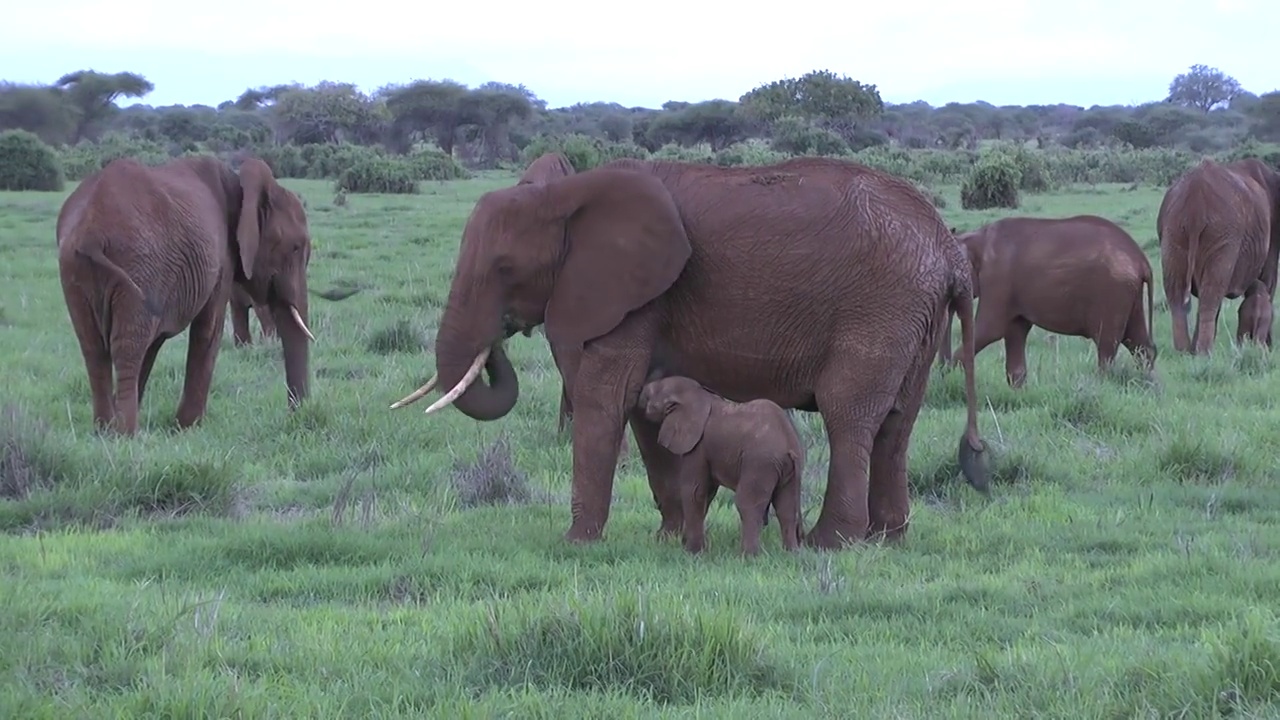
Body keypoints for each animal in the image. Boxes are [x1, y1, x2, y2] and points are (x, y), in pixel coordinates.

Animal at [55, 152, 317, 430]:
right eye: (296, 248)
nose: (295, 414)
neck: (242, 187)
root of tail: (91, 232)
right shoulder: (221, 258)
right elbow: (208, 330)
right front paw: (187, 426)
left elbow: (154, 343)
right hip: (137, 265)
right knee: (127, 346)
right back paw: (125, 432)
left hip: (75, 269)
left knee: (93, 347)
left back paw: (104, 429)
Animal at [637, 376, 803, 556]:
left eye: (653, 392)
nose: (642, 389)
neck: (700, 395)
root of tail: (789, 444)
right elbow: (708, 493)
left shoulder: (697, 446)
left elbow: (694, 491)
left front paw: (692, 552)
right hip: (789, 469)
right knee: (787, 506)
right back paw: (792, 553)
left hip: (760, 462)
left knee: (748, 503)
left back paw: (748, 556)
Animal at [942, 212, 1162, 386]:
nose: (941, 371)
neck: (975, 239)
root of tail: (1142, 261)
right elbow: (1015, 330)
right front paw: (1019, 391)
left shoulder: (997, 278)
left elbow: (990, 329)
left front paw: (948, 375)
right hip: (1129, 293)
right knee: (1138, 343)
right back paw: (1150, 385)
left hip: (1113, 291)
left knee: (1107, 345)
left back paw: (1102, 385)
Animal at [1162, 156, 1280, 353]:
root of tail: (1195, 202)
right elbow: (1268, 281)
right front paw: (1268, 348)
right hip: (1222, 233)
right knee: (1211, 293)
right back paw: (1203, 353)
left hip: (1173, 230)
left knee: (1176, 291)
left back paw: (1185, 352)